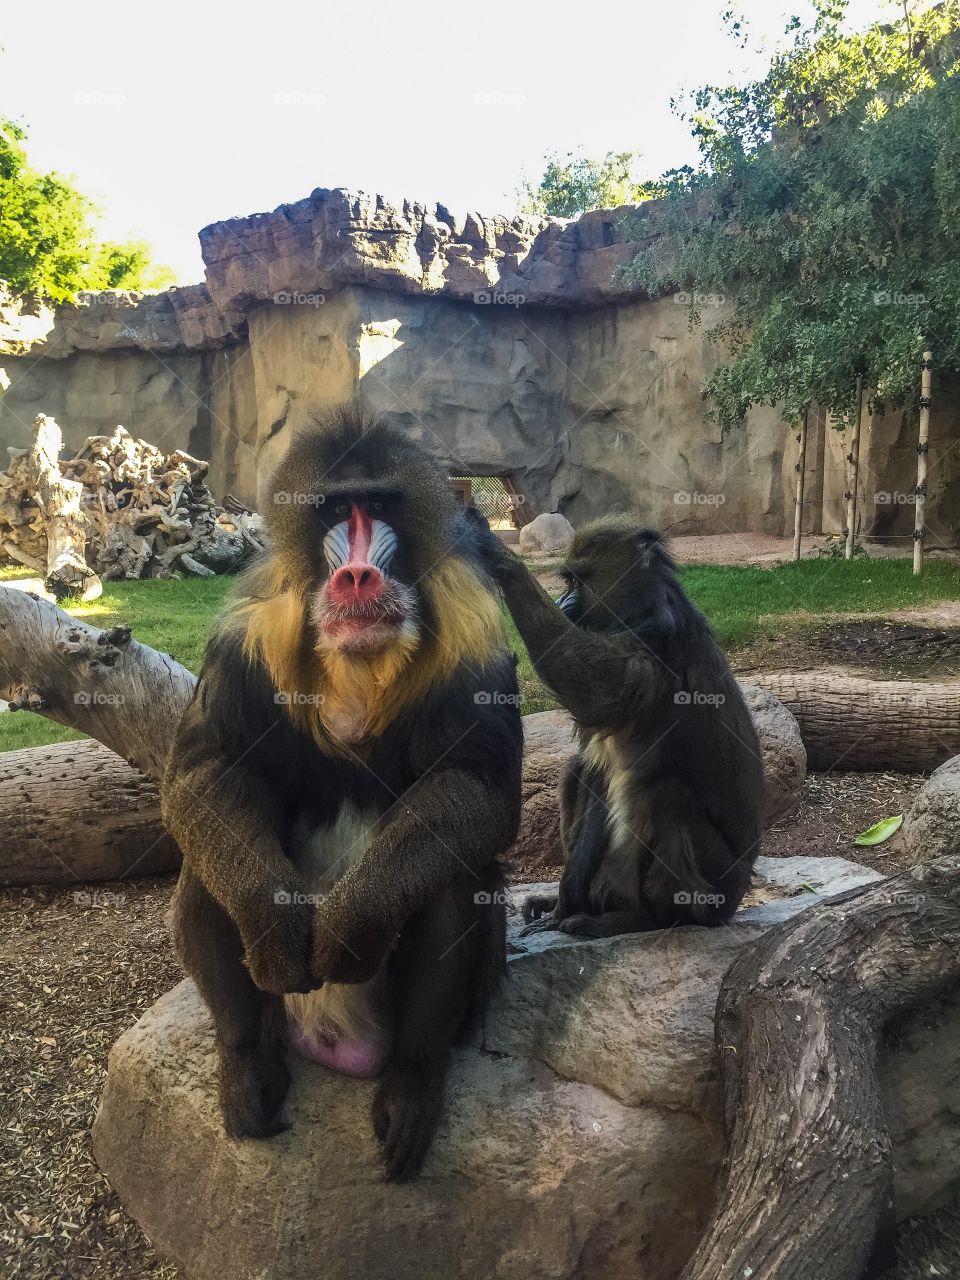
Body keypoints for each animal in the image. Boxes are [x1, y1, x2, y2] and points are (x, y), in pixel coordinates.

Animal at [161, 406, 523, 1182]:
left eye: (379, 505)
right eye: (333, 510)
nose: (356, 574)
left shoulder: (472, 624)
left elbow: (475, 785)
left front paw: (352, 925)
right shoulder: (246, 631)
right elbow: (208, 773)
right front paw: (272, 920)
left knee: (454, 875)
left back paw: (411, 1090)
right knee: (205, 864)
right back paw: (247, 1071)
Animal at [466, 510, 763, 938]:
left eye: (579, 581)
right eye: (568, 581)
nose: (561, 603)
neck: (642, 608)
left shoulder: (648, 654)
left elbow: (584, 683)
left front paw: (496, 553)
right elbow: (595, 777)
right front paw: (560, 905)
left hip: (716, 890)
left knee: (668, 793)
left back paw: (649, 919)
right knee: (576, 771)